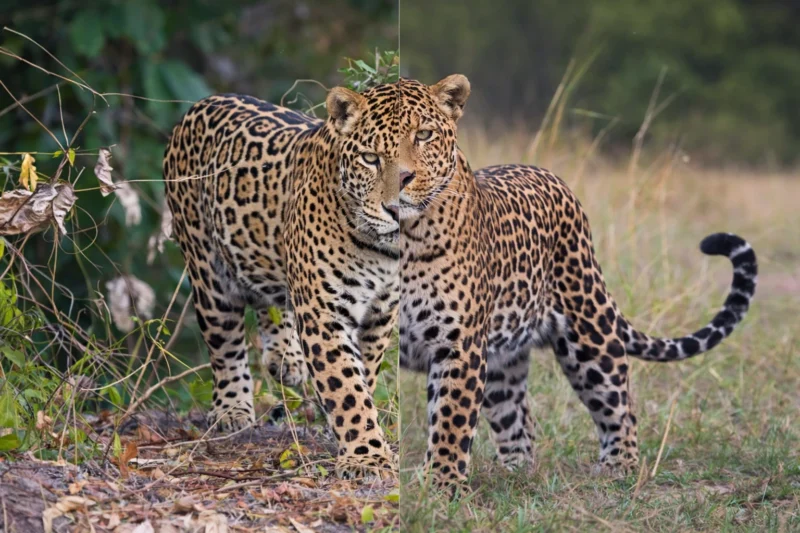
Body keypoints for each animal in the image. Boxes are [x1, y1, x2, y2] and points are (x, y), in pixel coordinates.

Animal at [163, 81, 405, 478]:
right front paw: (366, 456)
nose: (397, 208)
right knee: (225, 342)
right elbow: (347, 386)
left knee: (272, 298)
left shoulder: (382, 313)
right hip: (208, 272)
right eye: (370, 159)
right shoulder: (325, 313)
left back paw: (285, 360)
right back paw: (232, 409)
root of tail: (200, 104)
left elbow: (362, 375)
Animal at [397, 75, 758, 486]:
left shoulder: (458, 345)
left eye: (424, 135)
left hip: (590, 335)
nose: (401, 178)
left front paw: (439, 486)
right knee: (519, 420)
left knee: (621, 407)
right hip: (504, 359)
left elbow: (450, 422)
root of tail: (554, 179)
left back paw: (618, 467)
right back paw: (514, 473)